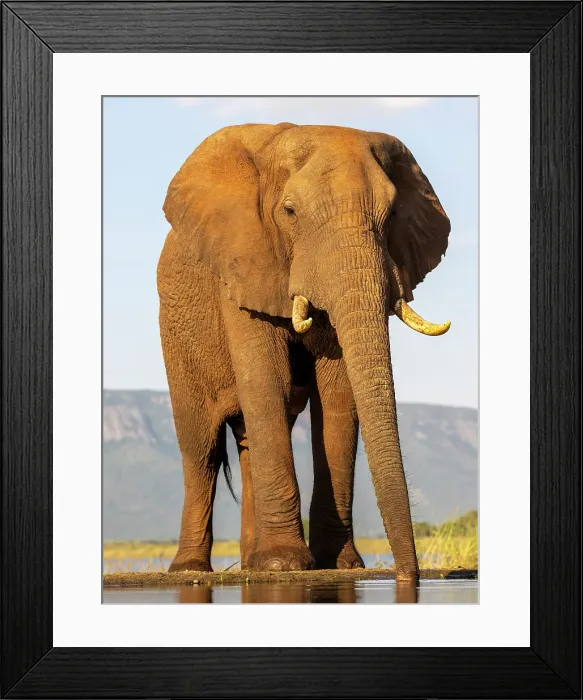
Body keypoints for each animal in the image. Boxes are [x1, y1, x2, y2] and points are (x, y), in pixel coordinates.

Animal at [158, 122, 450, 581]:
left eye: (392, 216)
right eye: (290, 212)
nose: (408, 577)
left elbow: (337, 394)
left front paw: (340, 565)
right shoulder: (241, 264)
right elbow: (268, 382)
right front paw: (285, 564)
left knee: (246, 441)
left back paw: (250, 565)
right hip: (177, 336)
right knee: (201, 447)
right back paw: (192, 569)